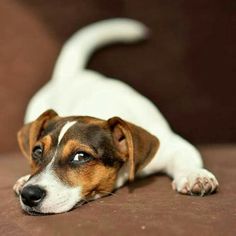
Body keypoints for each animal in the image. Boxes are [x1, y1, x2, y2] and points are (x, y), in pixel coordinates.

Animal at [13, 17, 218, 215]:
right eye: (37, 151)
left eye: (81, 156)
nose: (29, 194)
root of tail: (71, 76)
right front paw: (25, 178)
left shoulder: (174, 146)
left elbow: (185, 158)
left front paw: (195, 175)